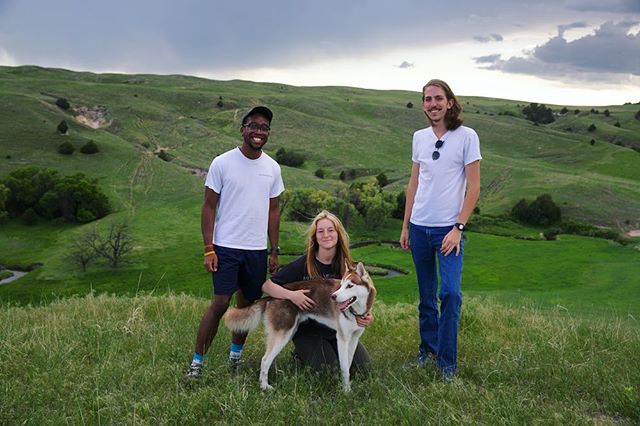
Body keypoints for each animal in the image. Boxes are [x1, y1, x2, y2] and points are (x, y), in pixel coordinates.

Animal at [225, 262, 376, 392]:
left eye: (350, 286)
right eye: (341, 285)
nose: (333, 297)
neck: (356, 310)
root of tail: (271, 297)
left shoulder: (353, 338)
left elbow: (348, 364)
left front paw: (346, 385)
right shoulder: (342, 338)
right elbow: (344, 367)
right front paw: (346, 391)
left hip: (290, 331)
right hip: (283, 334)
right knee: (265, 360)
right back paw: (264, 386)